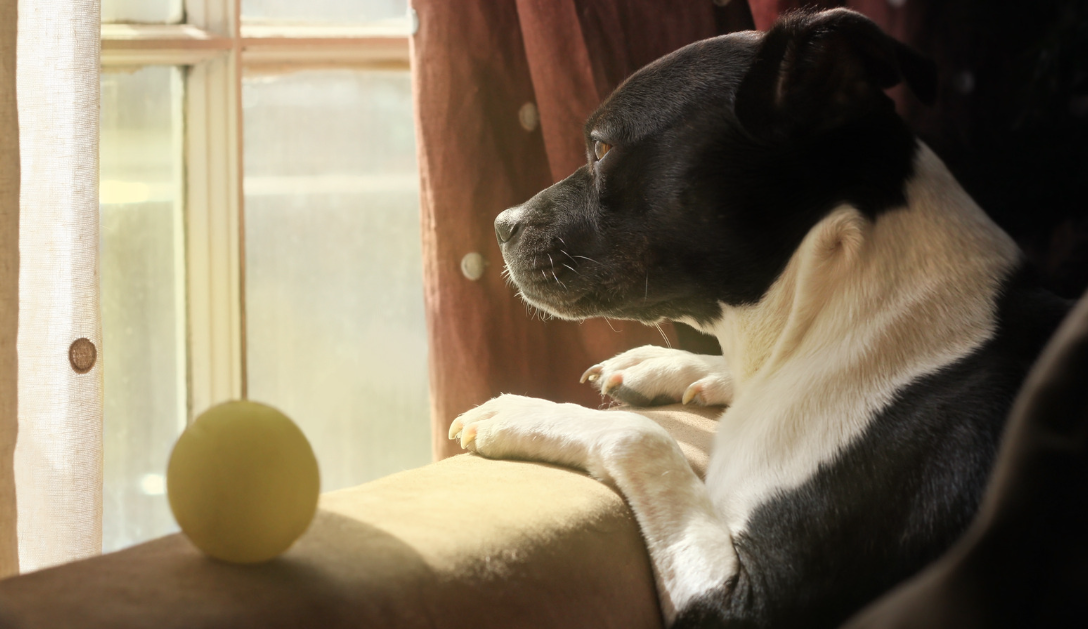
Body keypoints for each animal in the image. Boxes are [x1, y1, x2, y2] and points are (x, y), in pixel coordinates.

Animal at [446, 9, 1066, 626]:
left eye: (600, 149)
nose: (500, 225)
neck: (821, 312)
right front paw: (669, 365)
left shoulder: (746, 602)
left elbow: (642, 437)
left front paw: (522, 411)